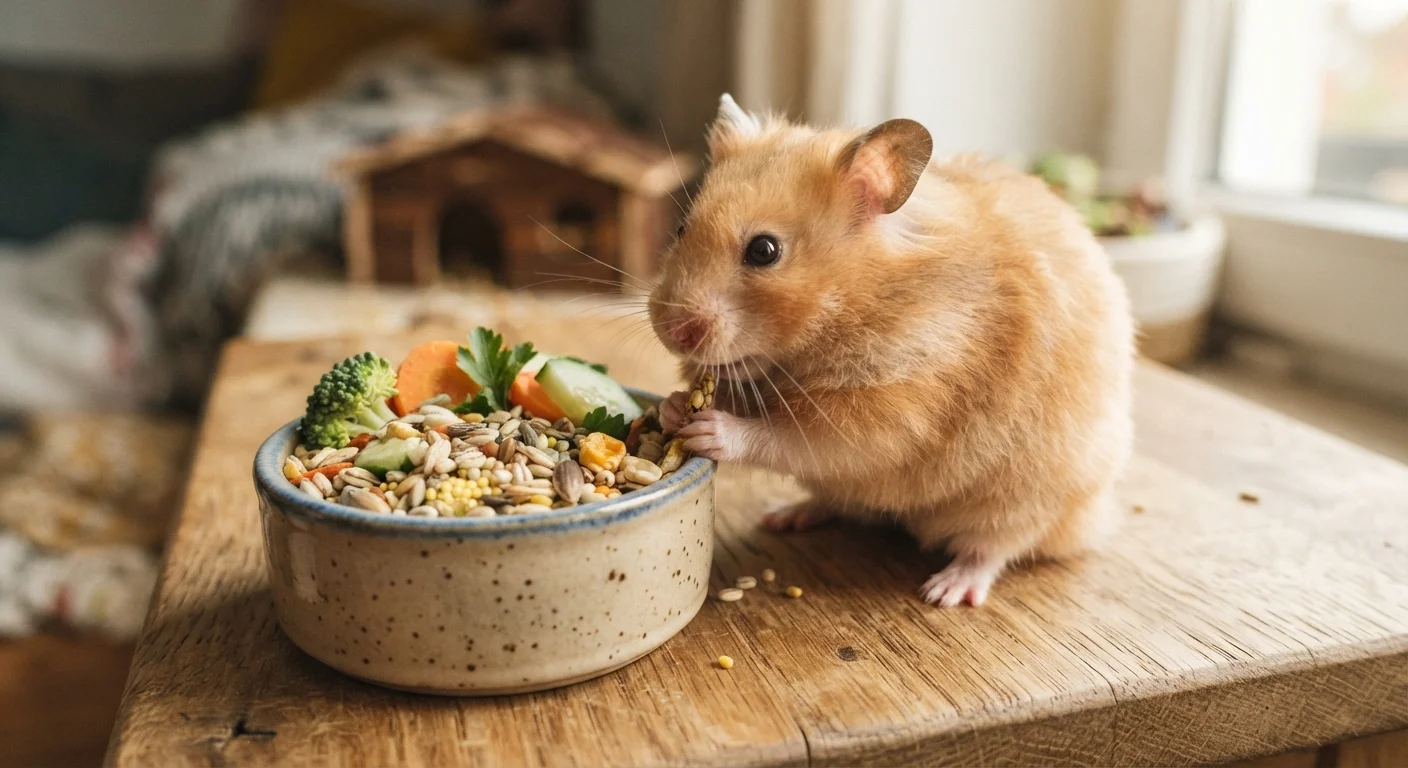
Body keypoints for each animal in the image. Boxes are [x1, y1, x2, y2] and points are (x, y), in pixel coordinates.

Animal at [648, 94, 1135, 607]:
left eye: (764, 250)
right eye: (680, 228)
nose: (673, 331)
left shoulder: (894, 409)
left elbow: (790, 438)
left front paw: (709, 429)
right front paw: (673, 408)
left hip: (1028, 496)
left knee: (996, 547)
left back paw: (946, 590)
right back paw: (785, 517)